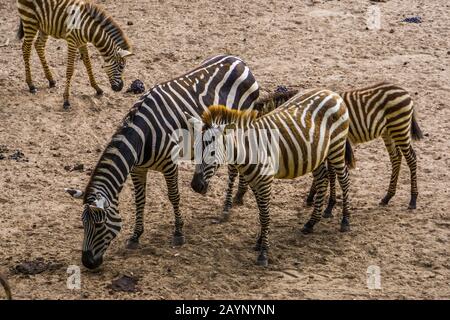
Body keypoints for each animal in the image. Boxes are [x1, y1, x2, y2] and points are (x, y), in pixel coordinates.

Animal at [64, 55, 258, 270]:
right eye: (83, 224)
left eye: (99, 225)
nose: (87, 263)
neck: (142, 137)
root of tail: (238, 60)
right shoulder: (138, 169)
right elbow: (140, 200)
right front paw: (135, 236)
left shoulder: (169, 165)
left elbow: (173, 196)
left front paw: (178, 233)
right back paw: (240, 195)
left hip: (237, 127)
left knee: (234, 165)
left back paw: (227, 206)